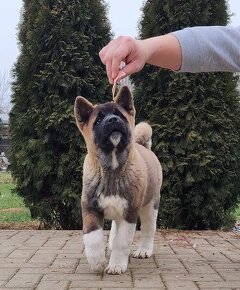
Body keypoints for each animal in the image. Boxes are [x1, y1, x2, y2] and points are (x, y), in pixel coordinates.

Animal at [74, 85, 162, 274]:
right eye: (98, 120)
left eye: (119, 115)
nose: (113, 120)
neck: (112, 169)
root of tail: (144, 146)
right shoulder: (90, 207)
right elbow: (92, 237)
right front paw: (97, 261)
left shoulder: (130, 211)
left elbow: (123, 241)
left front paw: (116, 265)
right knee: (115, 226)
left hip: (150, 204)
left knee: (148, 229)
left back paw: (144, 250)